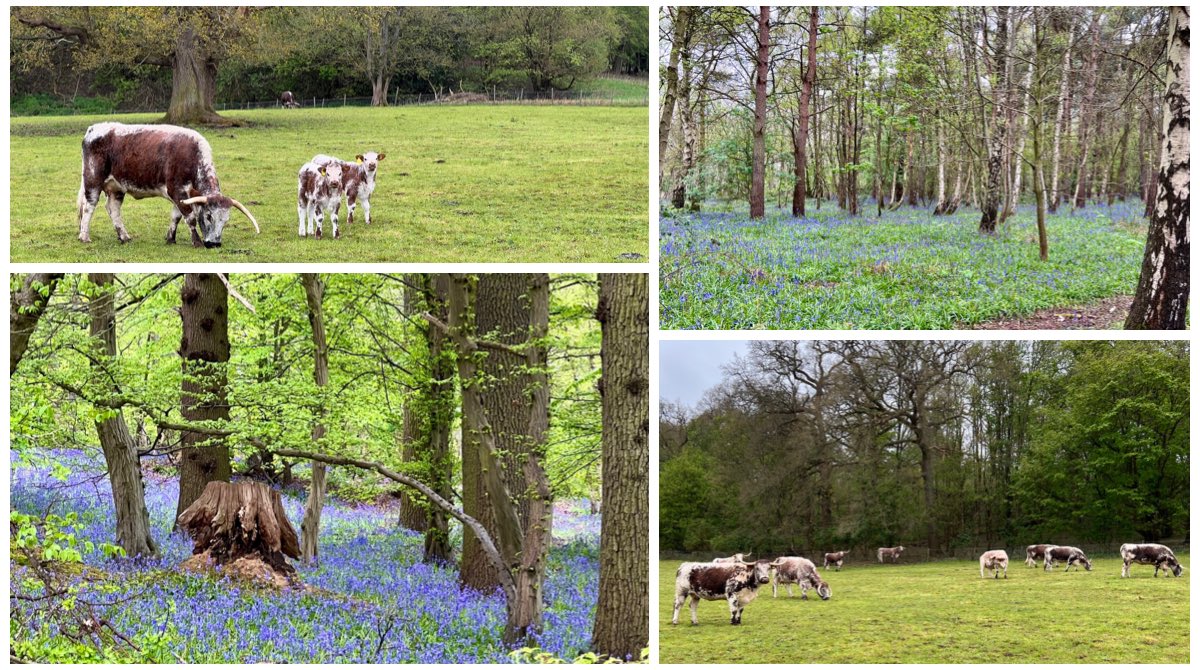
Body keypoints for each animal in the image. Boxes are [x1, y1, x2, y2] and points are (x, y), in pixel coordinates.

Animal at [77, 122, 258, 248]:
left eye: (226, 220)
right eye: (208, 216)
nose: (214, 244)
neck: (193, 157)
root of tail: (94, 128)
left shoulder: (182, 196)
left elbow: (176, 216)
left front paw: (171, 238)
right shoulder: (177, 190)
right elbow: (190, 217)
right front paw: (197, 242)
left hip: (117, 187)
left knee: (113, 209)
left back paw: (124, 236)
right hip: (93, 181)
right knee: (89, 207)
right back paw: (84, 236)